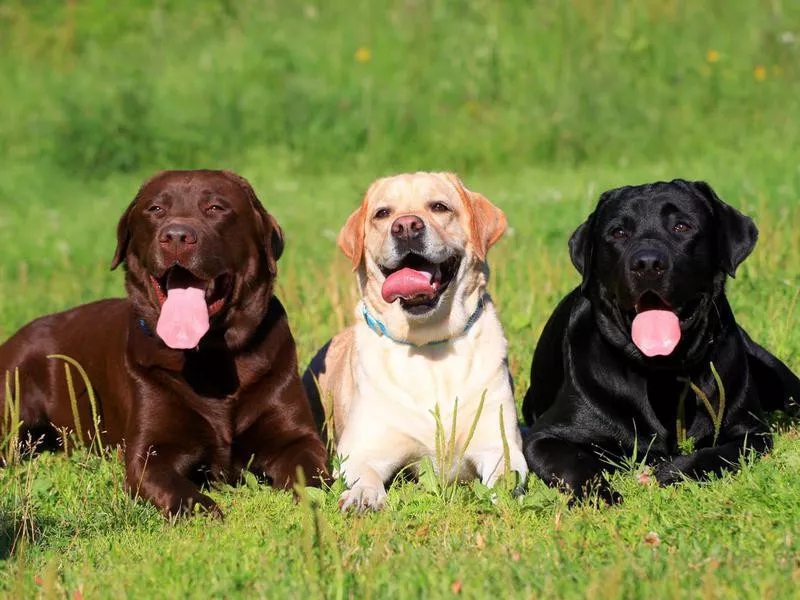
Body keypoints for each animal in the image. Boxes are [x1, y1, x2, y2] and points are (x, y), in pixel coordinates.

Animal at [0, 168, 328, 516]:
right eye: (156, 209)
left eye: (215, 208)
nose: (176, 236)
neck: (210, 356)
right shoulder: (150, 451)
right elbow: (177, 489)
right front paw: (206, 513)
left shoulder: (297, 437)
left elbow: (312, 472)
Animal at [304, 172, 528, 510]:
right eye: (382, 213)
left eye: (439, 207)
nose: (406, 226)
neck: (429, 343)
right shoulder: (359, 449)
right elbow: (364, 474)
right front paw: (362, 496)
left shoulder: (499, 442)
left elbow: (505, 475)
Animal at [520, 179, 796, 502]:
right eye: (618, 232)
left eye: (681, 226)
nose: (647, 263)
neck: (662, 373)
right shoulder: (544, 437)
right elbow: (577, 464)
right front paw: (603, 497)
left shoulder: (751, 432)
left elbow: (714, 454)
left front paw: (670, 472)